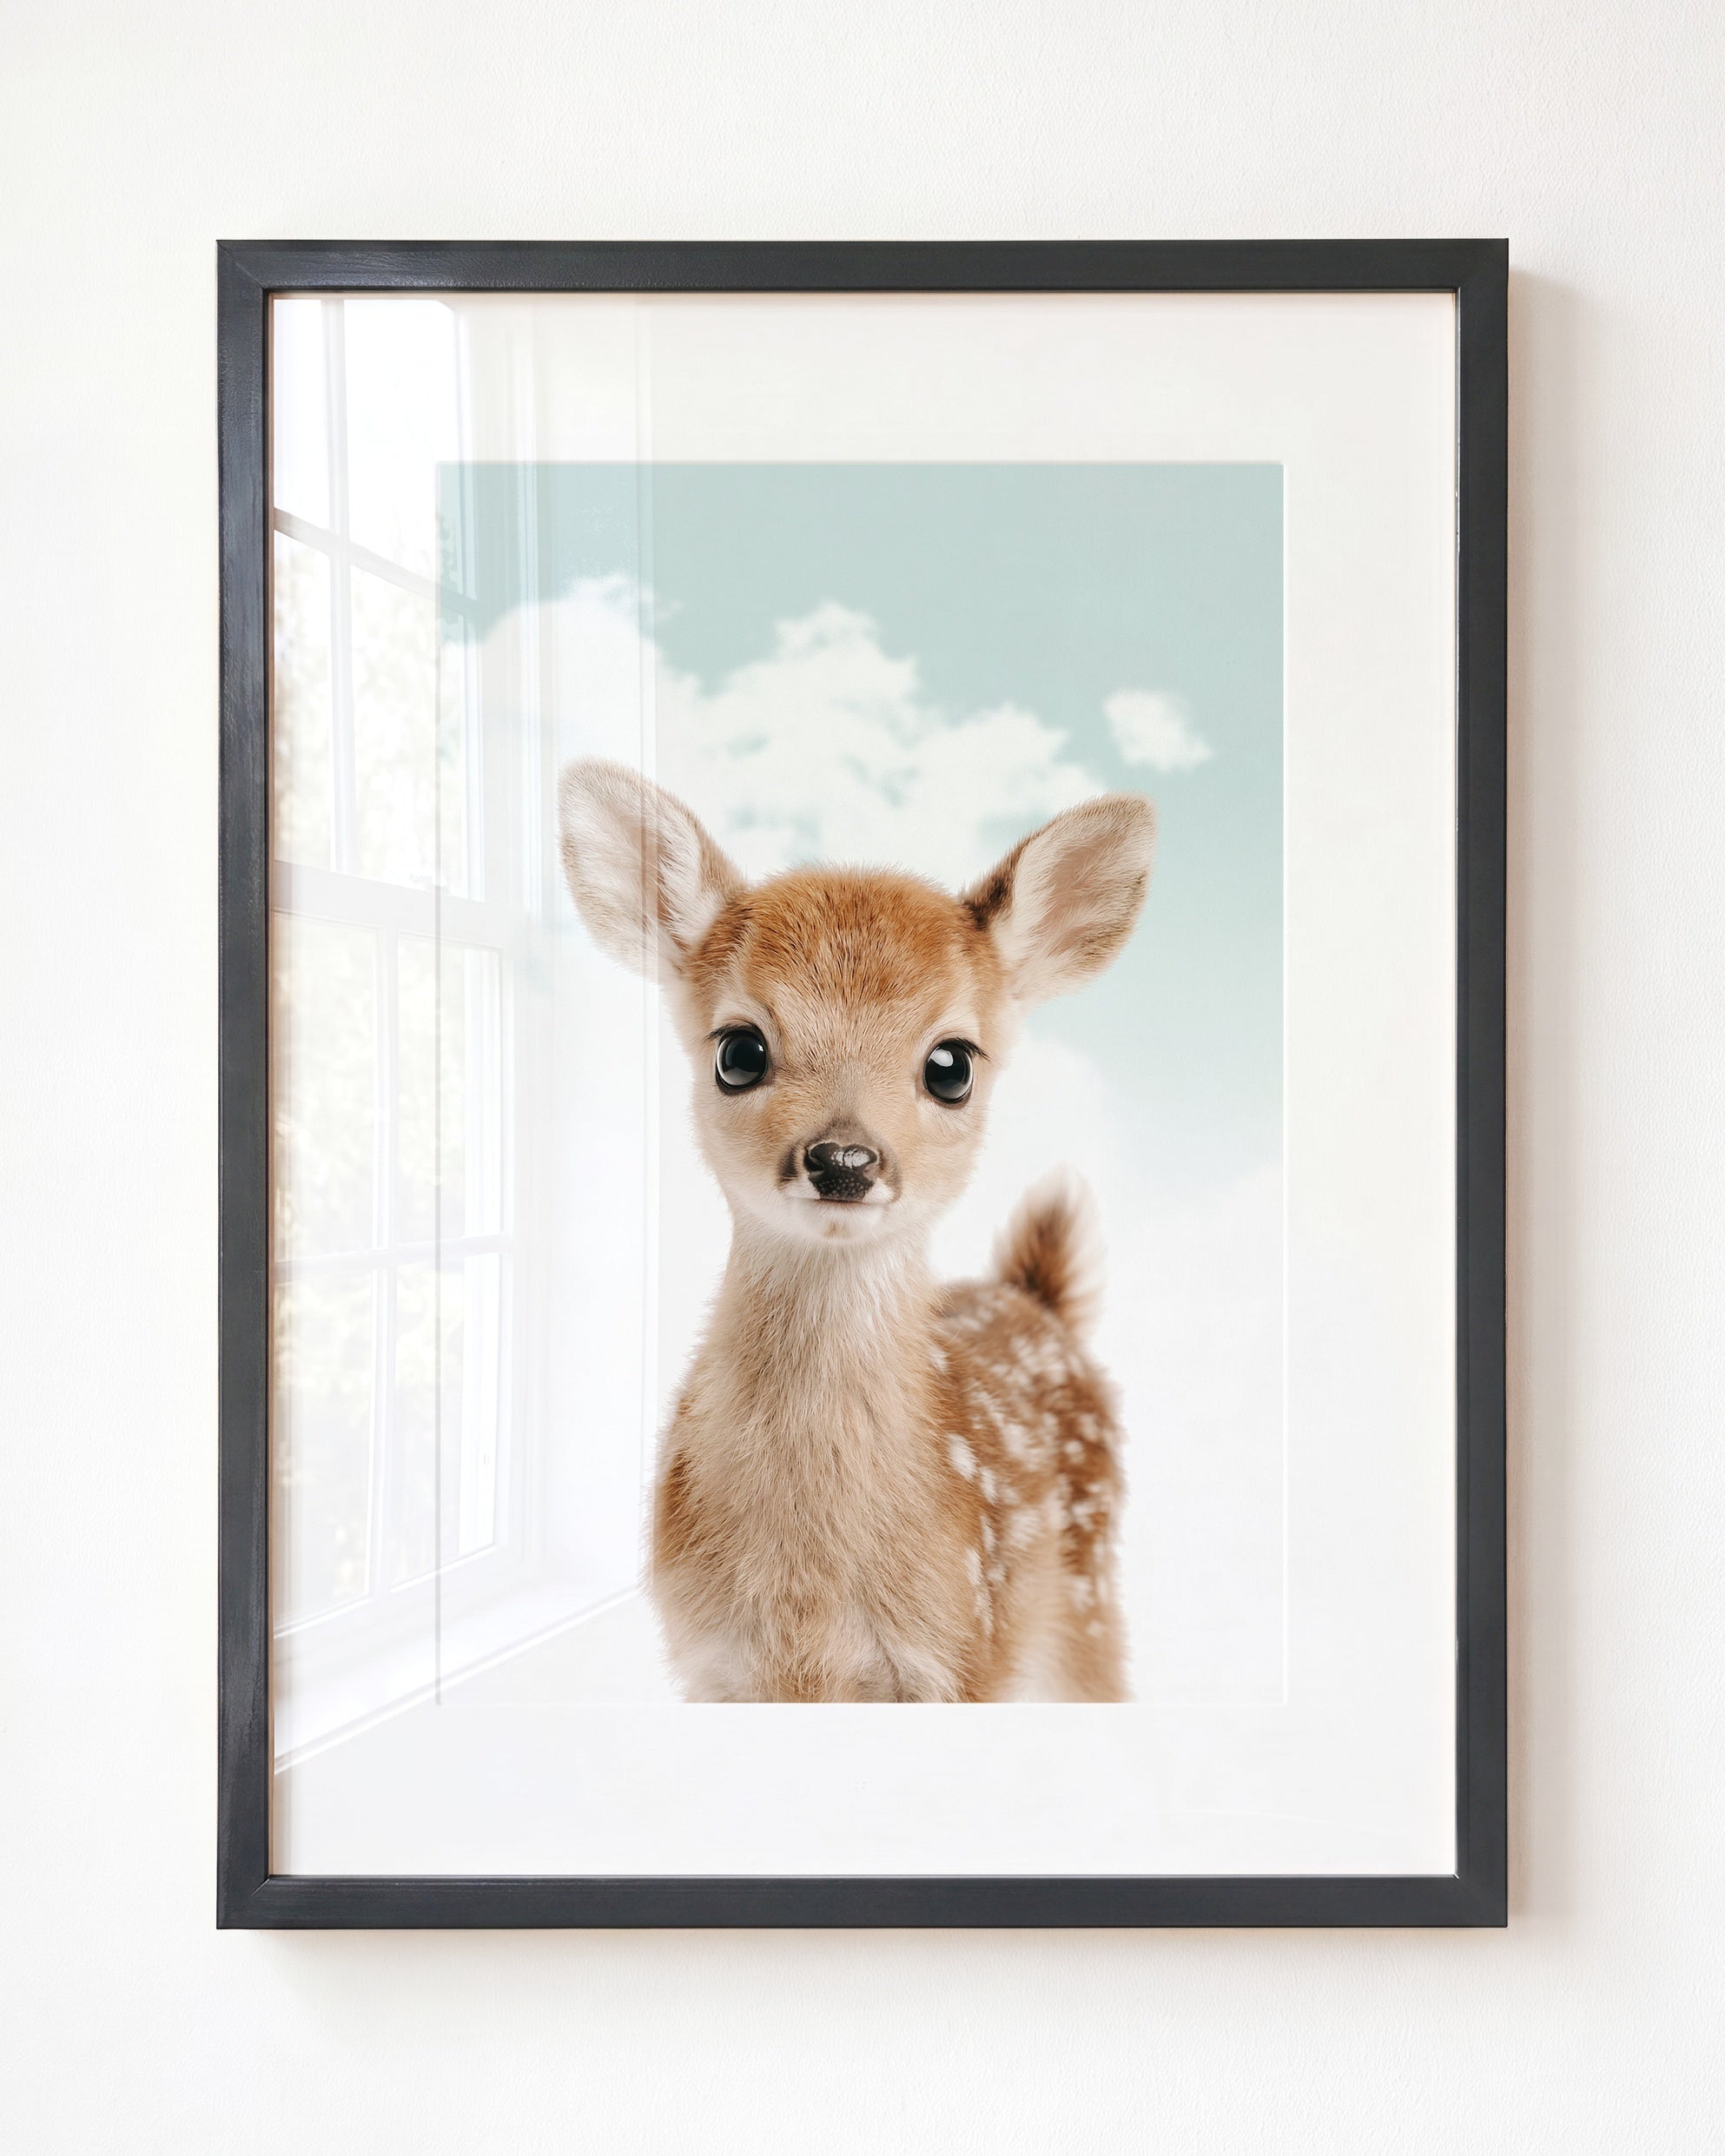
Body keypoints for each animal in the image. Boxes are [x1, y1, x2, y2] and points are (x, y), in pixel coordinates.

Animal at [558, 759, 1156, 1702]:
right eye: (738, 1051)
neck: (811, 1602)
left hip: (1086, 1602)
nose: (843, 1158)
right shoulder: (710, 1663)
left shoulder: (960, 1652)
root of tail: (1037, 1299)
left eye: (951, 1064)